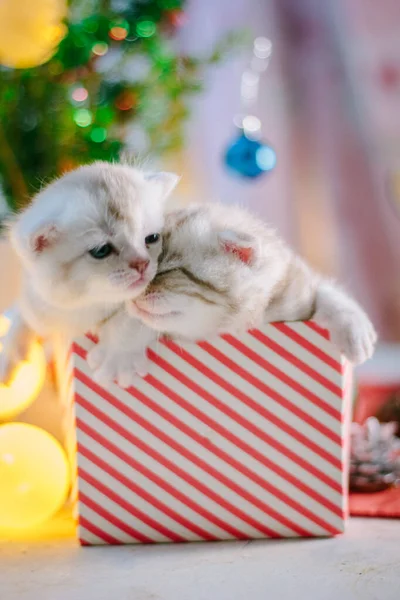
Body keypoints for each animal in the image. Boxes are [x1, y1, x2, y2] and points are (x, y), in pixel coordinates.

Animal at [0, 162, 178, 382]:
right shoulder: (37, 301)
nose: (142, 263)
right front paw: (8, 356)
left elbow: (131, 318)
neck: (84, 305)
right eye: (101, 250)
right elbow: (22, 318)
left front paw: (117, 356)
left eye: (152, 238)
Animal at [90, 202, 376, 390]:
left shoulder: (296, 288)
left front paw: (354, 329)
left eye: (168, 269)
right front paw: (119, 352)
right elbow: (131, 320)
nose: (134, 289)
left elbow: (324, 292)